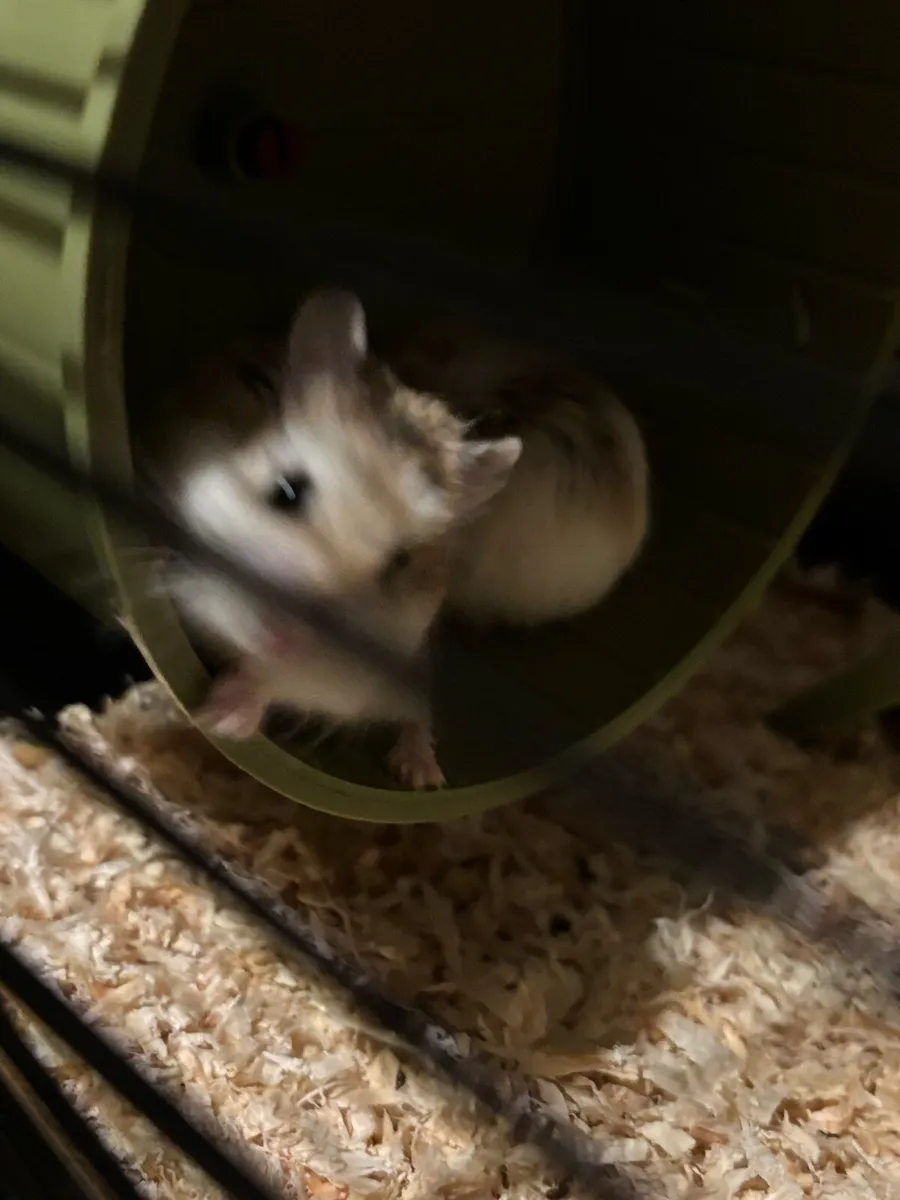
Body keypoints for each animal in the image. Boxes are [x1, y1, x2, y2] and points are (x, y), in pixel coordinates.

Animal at [139, 290, 521, 788]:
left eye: (400, 562)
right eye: (286, 491)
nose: (284, 640)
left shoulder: (348, 671)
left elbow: (277, 679)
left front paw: (222, 719)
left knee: (417, 712)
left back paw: (421, 774)